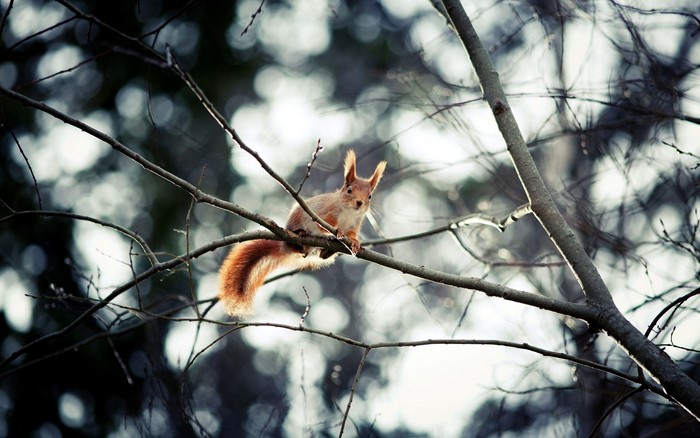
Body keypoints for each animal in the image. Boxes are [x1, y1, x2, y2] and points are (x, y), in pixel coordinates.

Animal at [218, 150, 387, 316]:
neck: (349, 212)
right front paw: (336, 231)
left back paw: (327, 251)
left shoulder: (354, 225)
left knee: (320, 256)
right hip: (295, 221)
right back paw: (301, 234)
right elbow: (324, 224)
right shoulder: (324, 213)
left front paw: (355, 243)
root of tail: (285, 246)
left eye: (369, 196)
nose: (359, 203)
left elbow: (351, 235)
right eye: (349, 190)